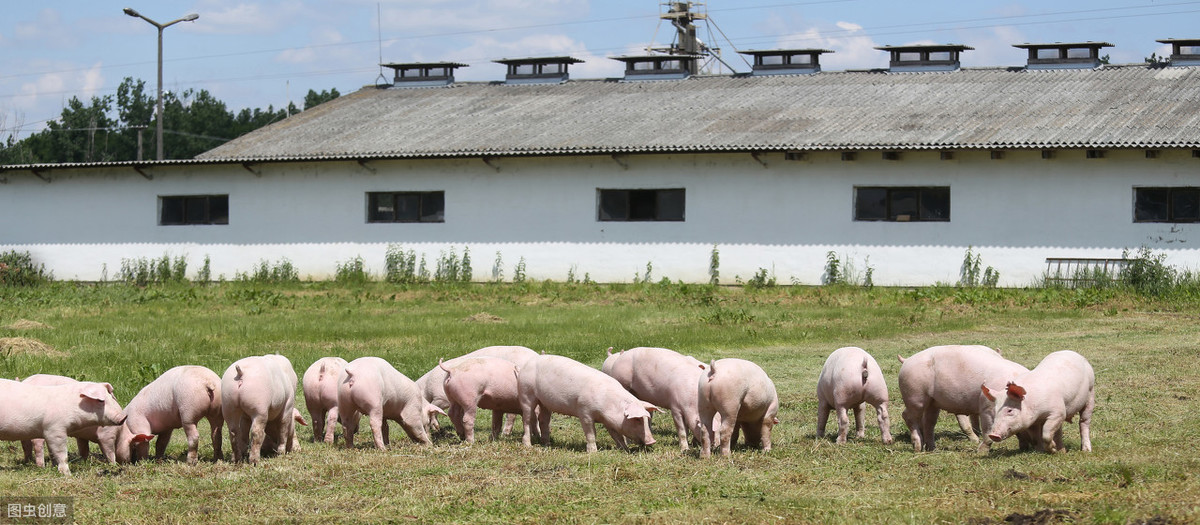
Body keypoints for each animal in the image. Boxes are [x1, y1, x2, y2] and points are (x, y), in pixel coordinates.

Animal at [516, 352, 662, 450]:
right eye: (637, 419)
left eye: (647, 419)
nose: (652, 441)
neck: (608, 404)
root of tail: (527, 364)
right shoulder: (584, 411)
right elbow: (591, 433)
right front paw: (593, 452)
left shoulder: (608, 420)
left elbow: (616, 435)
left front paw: (624, 450)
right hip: (526, 393)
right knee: (527, 419)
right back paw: (528, 445)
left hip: (545, 402)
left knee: (544, 420)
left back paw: (547, 444)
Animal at [897, 345, 1027, 450]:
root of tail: (907, 361)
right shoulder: (987, 406)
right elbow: (987, 429)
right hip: (915, 395)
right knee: (907, 416)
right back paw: (917, 448)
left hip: (932, 402)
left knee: (929, 422)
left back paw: (932, 448)